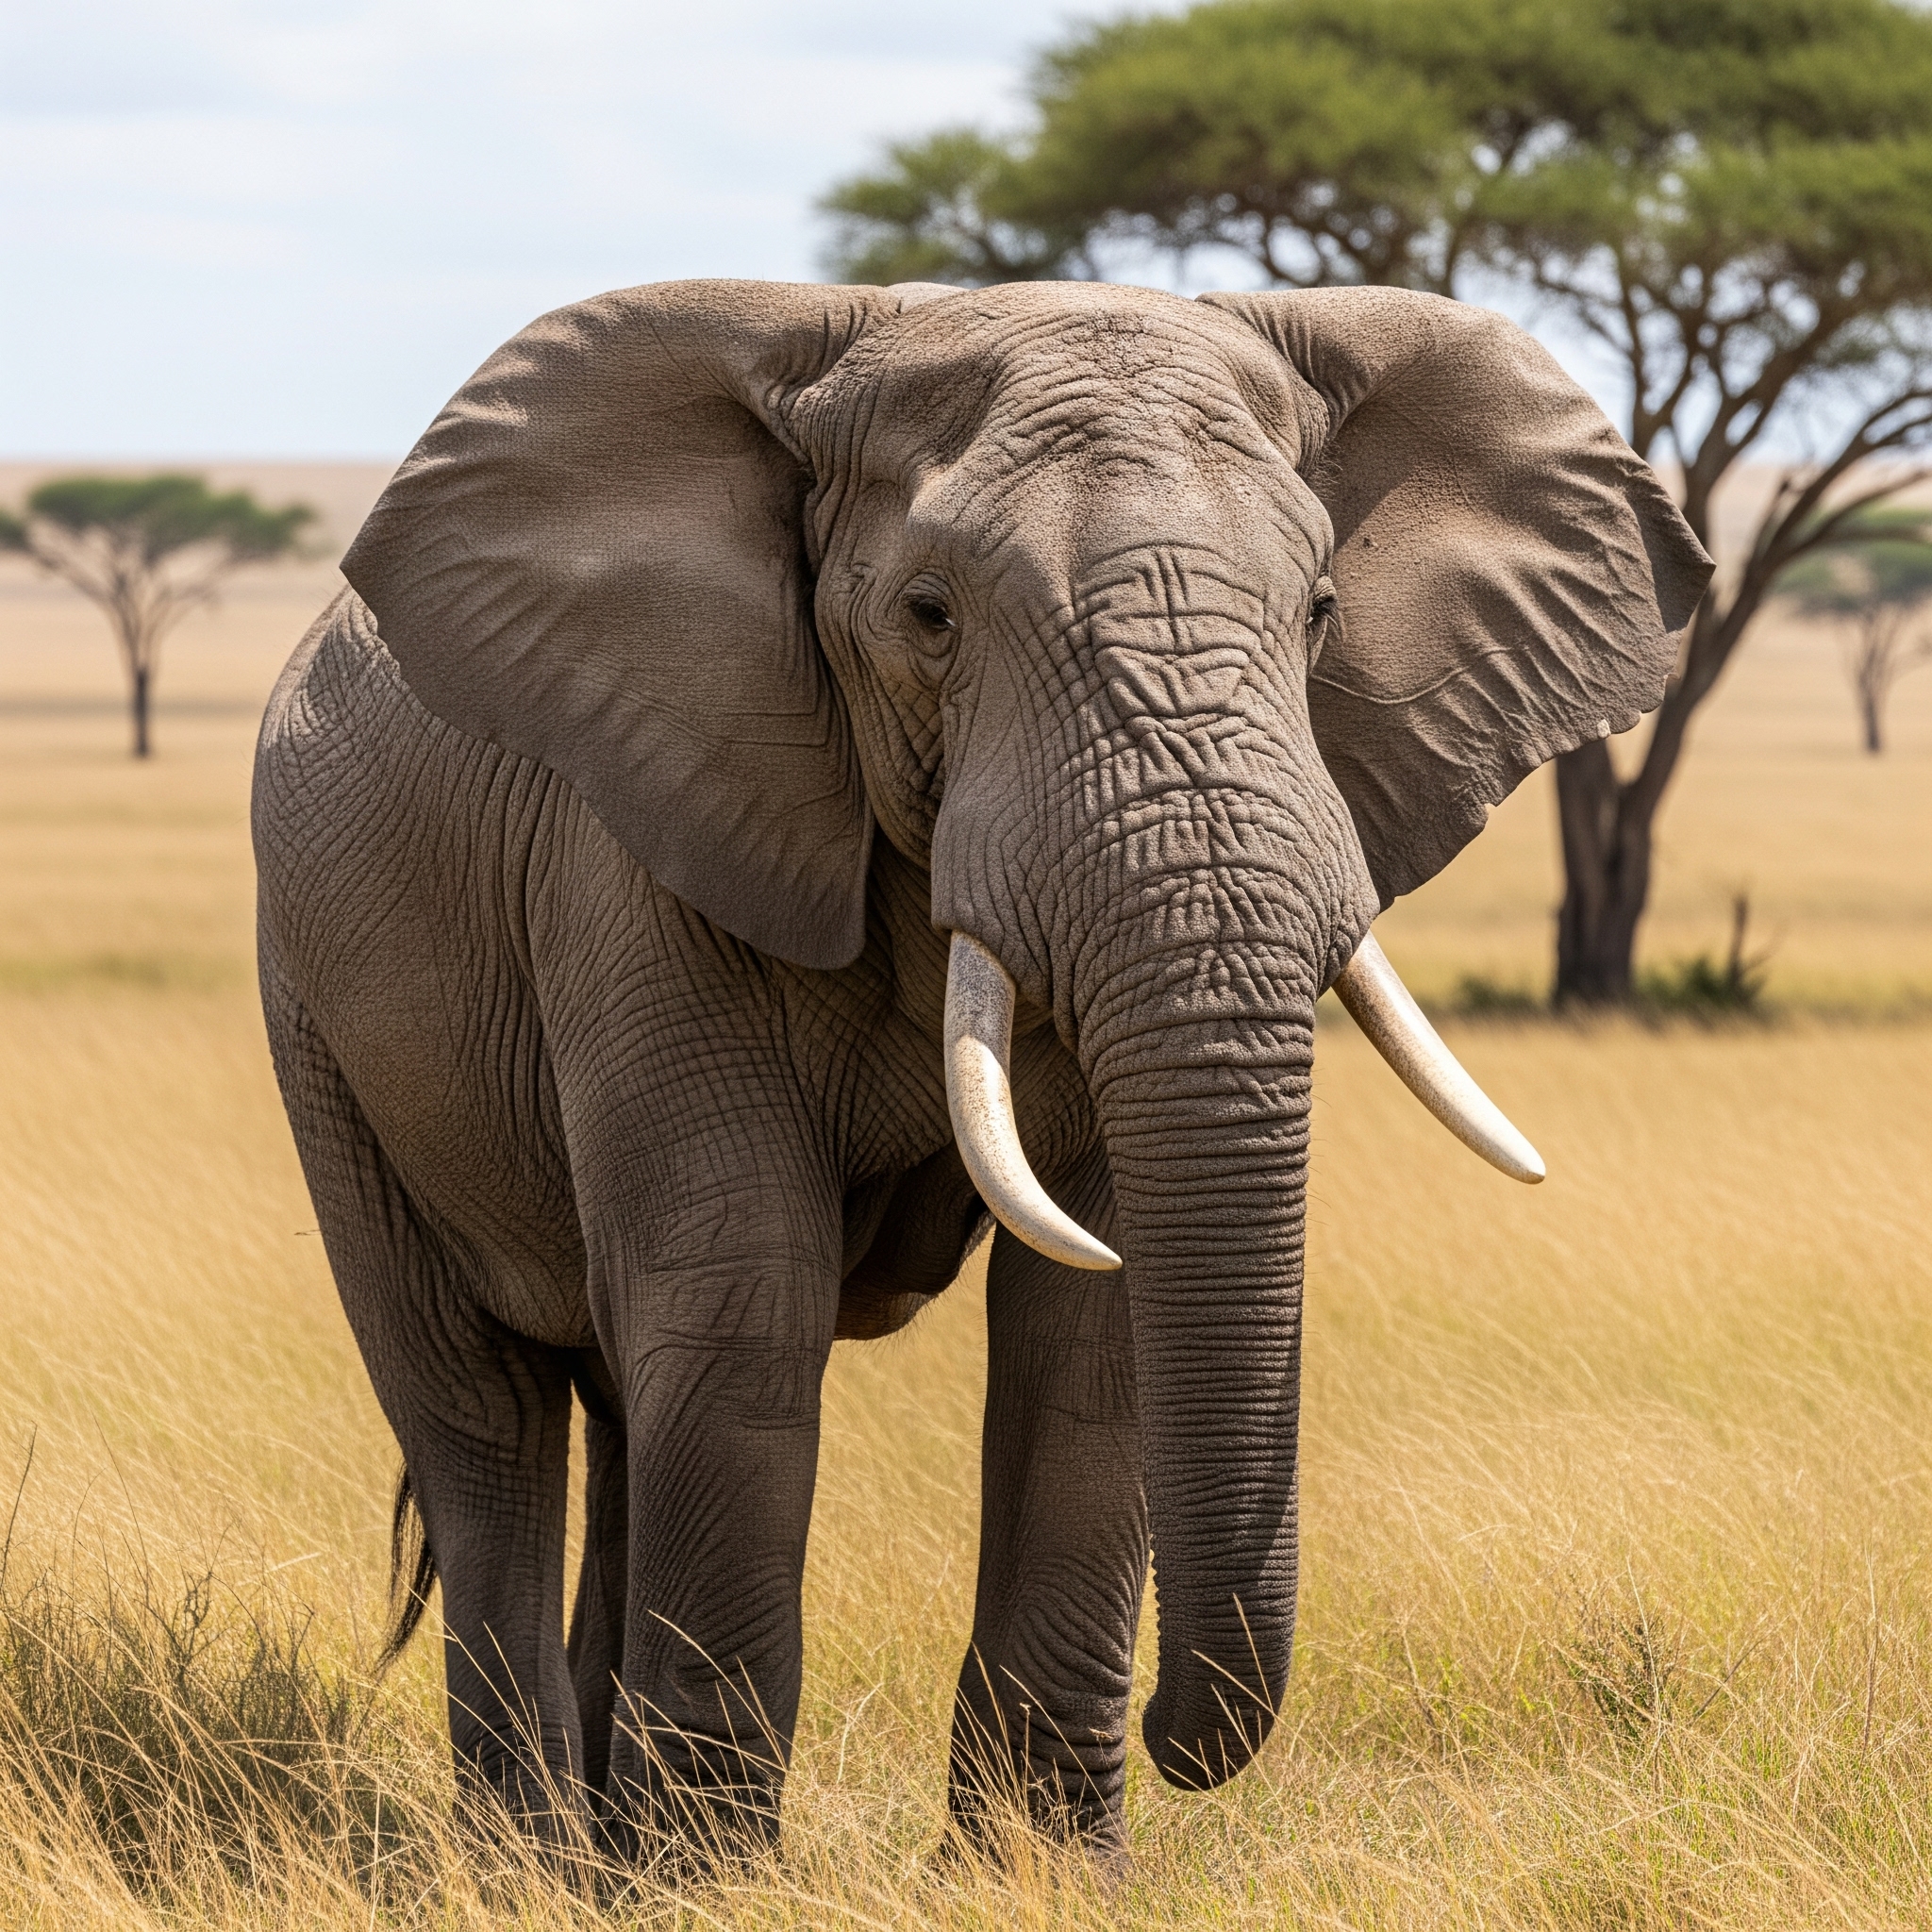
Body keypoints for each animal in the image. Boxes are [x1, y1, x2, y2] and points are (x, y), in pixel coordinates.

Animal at [252, 276, 1709, 1860]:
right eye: (929, 616)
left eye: (1323, 610)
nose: (1183, 1739)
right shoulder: (637, 840)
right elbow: (741, 1287)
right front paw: (718, 1885)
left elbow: (1091, 1321)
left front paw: (1036, 1874)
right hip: (313, 1014)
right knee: (485, 1415)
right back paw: (528, 1863)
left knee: (627, 1409)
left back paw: (598, 1861)